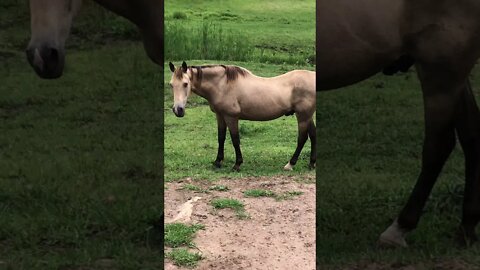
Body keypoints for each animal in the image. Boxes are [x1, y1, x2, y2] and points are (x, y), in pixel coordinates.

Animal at [168, 62, 316, 171]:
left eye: (185, 84)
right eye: (171, 85)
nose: (178, 110)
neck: (222, 85)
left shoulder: (231, 117)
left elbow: (235, 139)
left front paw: (237, 164)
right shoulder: (220, 116)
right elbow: (221, 137)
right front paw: (218, 161)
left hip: (303, 115)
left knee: (302, 138)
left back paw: (290, 164)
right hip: (307, 116)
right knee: (313, 135)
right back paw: (311, 164)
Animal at [320, 0, 480, 248]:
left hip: (441, 71)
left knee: (439, 146)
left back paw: (400, 227)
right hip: (454, 77)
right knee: (471, 135)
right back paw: (467, 227)